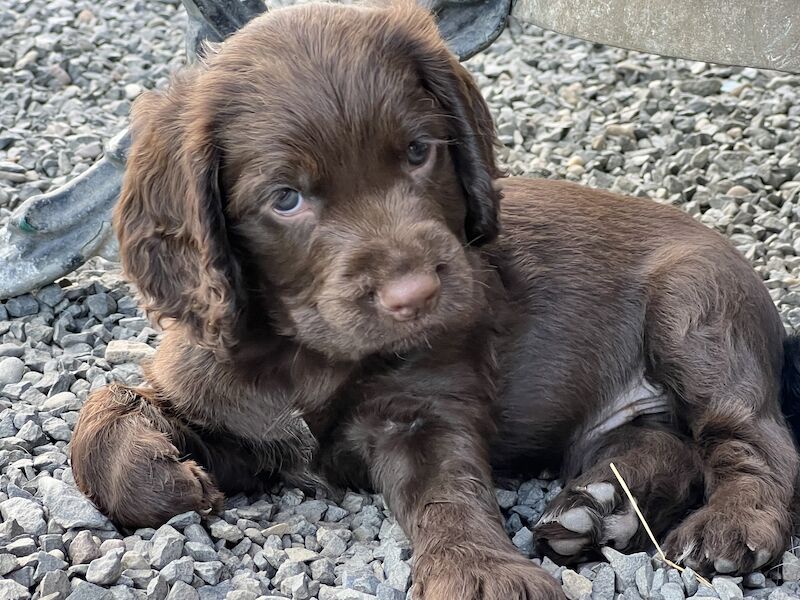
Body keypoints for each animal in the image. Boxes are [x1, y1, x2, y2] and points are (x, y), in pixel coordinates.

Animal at [72, 2, 796, 596]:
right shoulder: (226, 404)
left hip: (694, 311)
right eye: (286, 198)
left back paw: (725, 525)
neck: (308, 355)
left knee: (751, 436)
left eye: (419, 151)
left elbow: (449, 494)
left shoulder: (423, 410)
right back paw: (598, 508)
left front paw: (481, 574)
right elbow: (105, 409)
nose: (415, 293)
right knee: (667, 445)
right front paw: (161, 477)